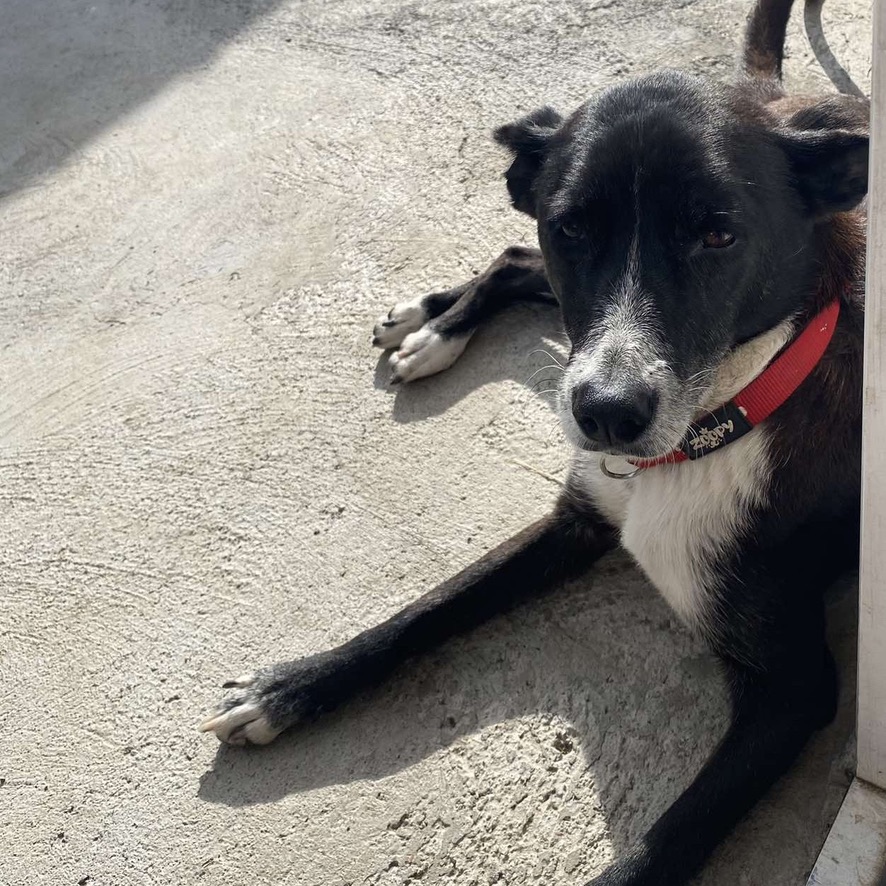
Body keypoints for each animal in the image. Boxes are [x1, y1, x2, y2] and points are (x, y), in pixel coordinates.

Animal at [198, 3, 872, 884]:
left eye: (719, 235)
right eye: (572, 226)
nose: (606, 413)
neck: (716, 425)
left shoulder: (792, 688)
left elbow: (660, 846)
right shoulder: (576, 515)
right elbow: (431, 606)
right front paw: (290, 687)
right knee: (518, 257)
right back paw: (434, 324)